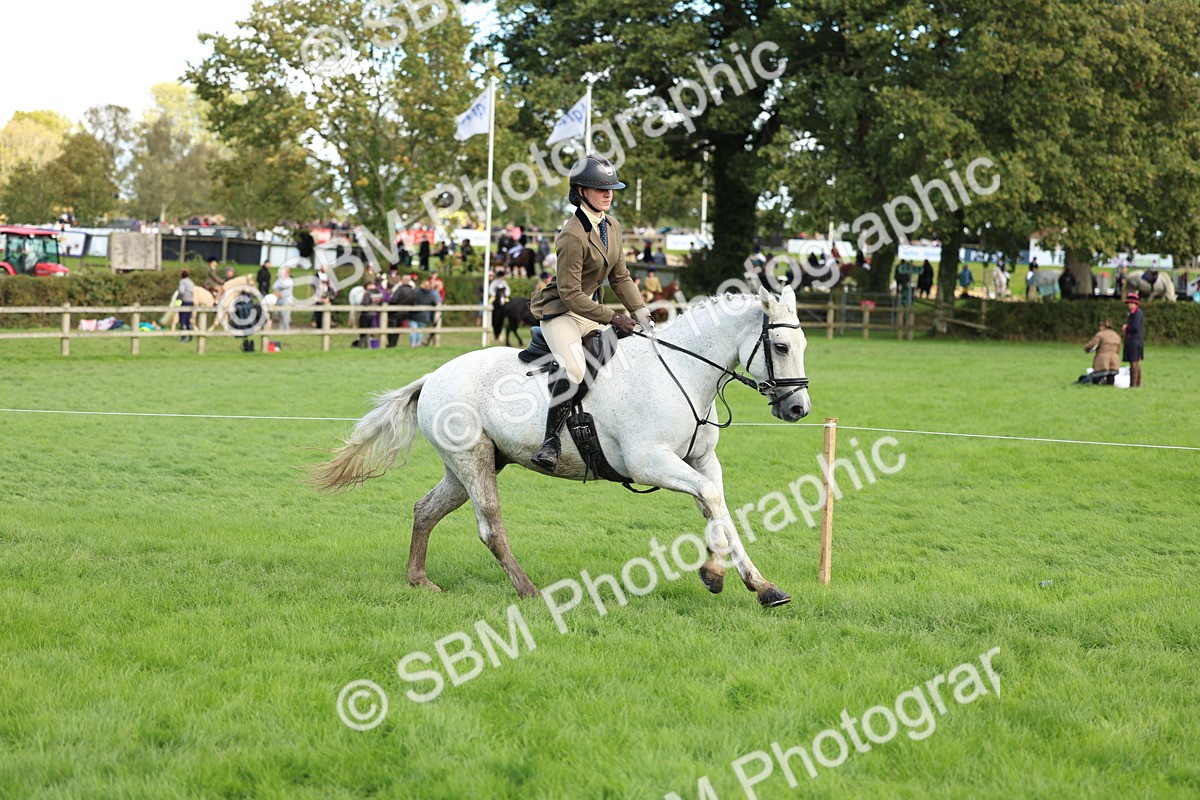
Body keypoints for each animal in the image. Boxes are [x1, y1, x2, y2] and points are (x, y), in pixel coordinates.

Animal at [312, 287, 812, 608]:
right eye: (780, 346)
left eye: (803, 343)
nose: (798, 408)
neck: (681, 372)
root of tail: (433, 376)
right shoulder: (651, 463)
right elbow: (710, 501)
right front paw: (715, 574)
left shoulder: (701, 461)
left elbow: (720, 509)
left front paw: (760, 586)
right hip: (473, 461)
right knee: (490, 528)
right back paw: (529, 592)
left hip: (470, 465)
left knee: (425, 510)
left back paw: (419, 581)